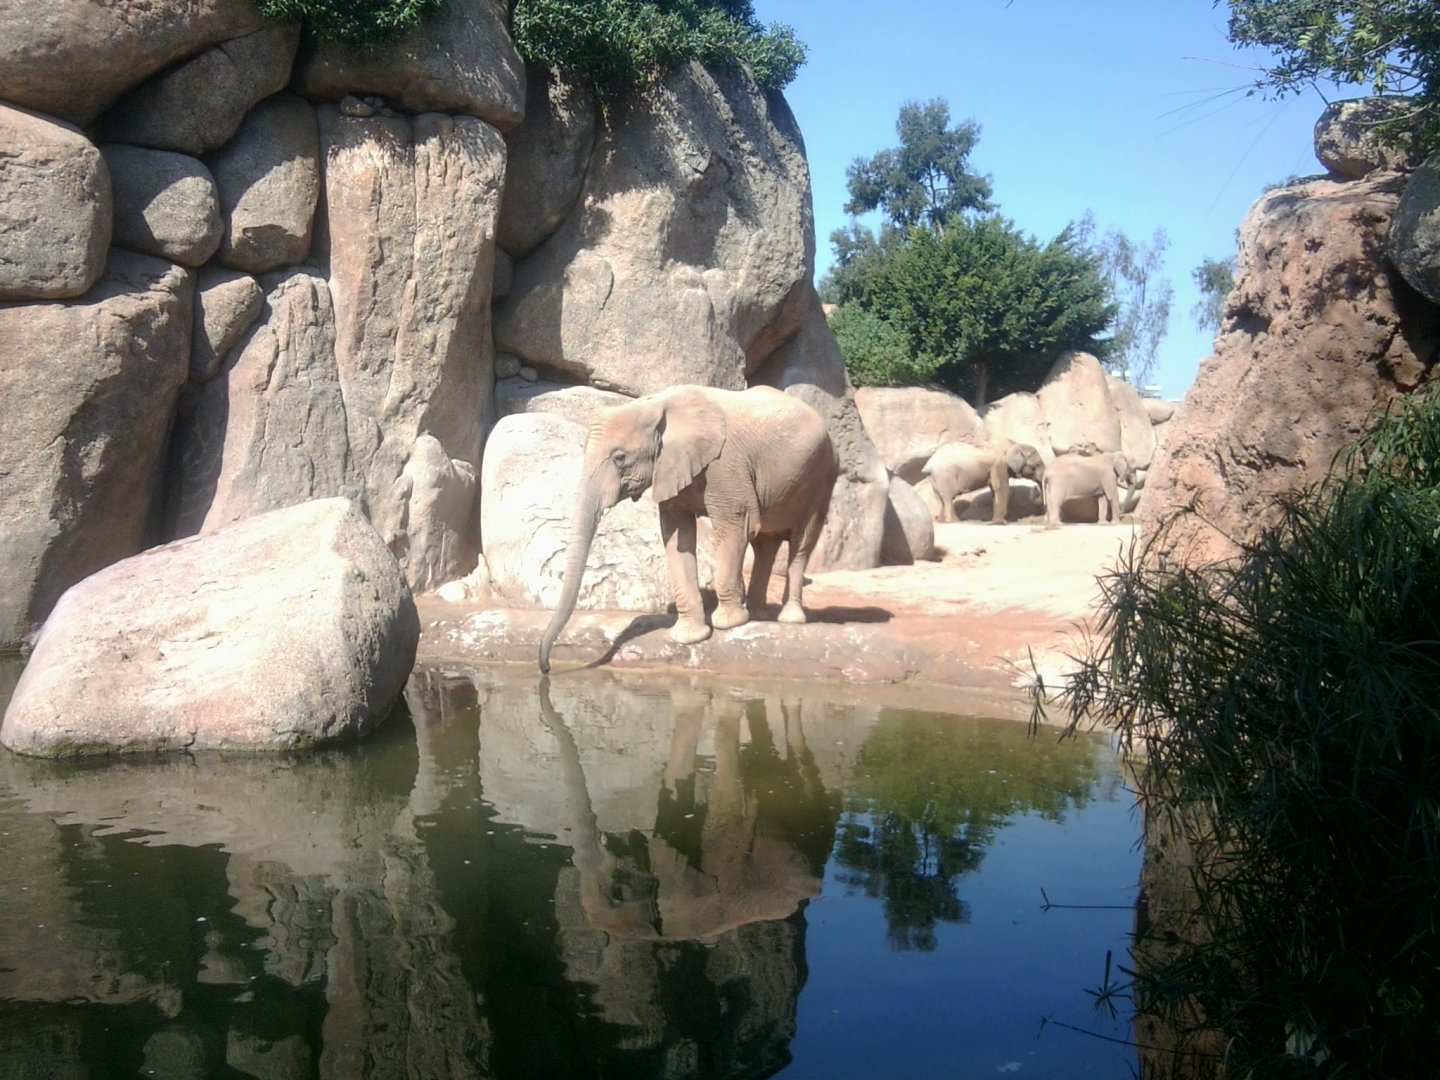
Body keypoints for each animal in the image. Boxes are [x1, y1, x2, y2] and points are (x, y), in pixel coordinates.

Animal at [538, 385, 839, 673]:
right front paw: (689, 637)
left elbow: (735, 526)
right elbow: (677, 537)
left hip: (821, 474)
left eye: (619, 458)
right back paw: (757, 615)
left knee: (801, 541)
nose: (547, 667)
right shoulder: (671, 470)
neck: (656, 404)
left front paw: (728, 624)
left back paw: (788, 618)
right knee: (766, 543)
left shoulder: (724, 467)